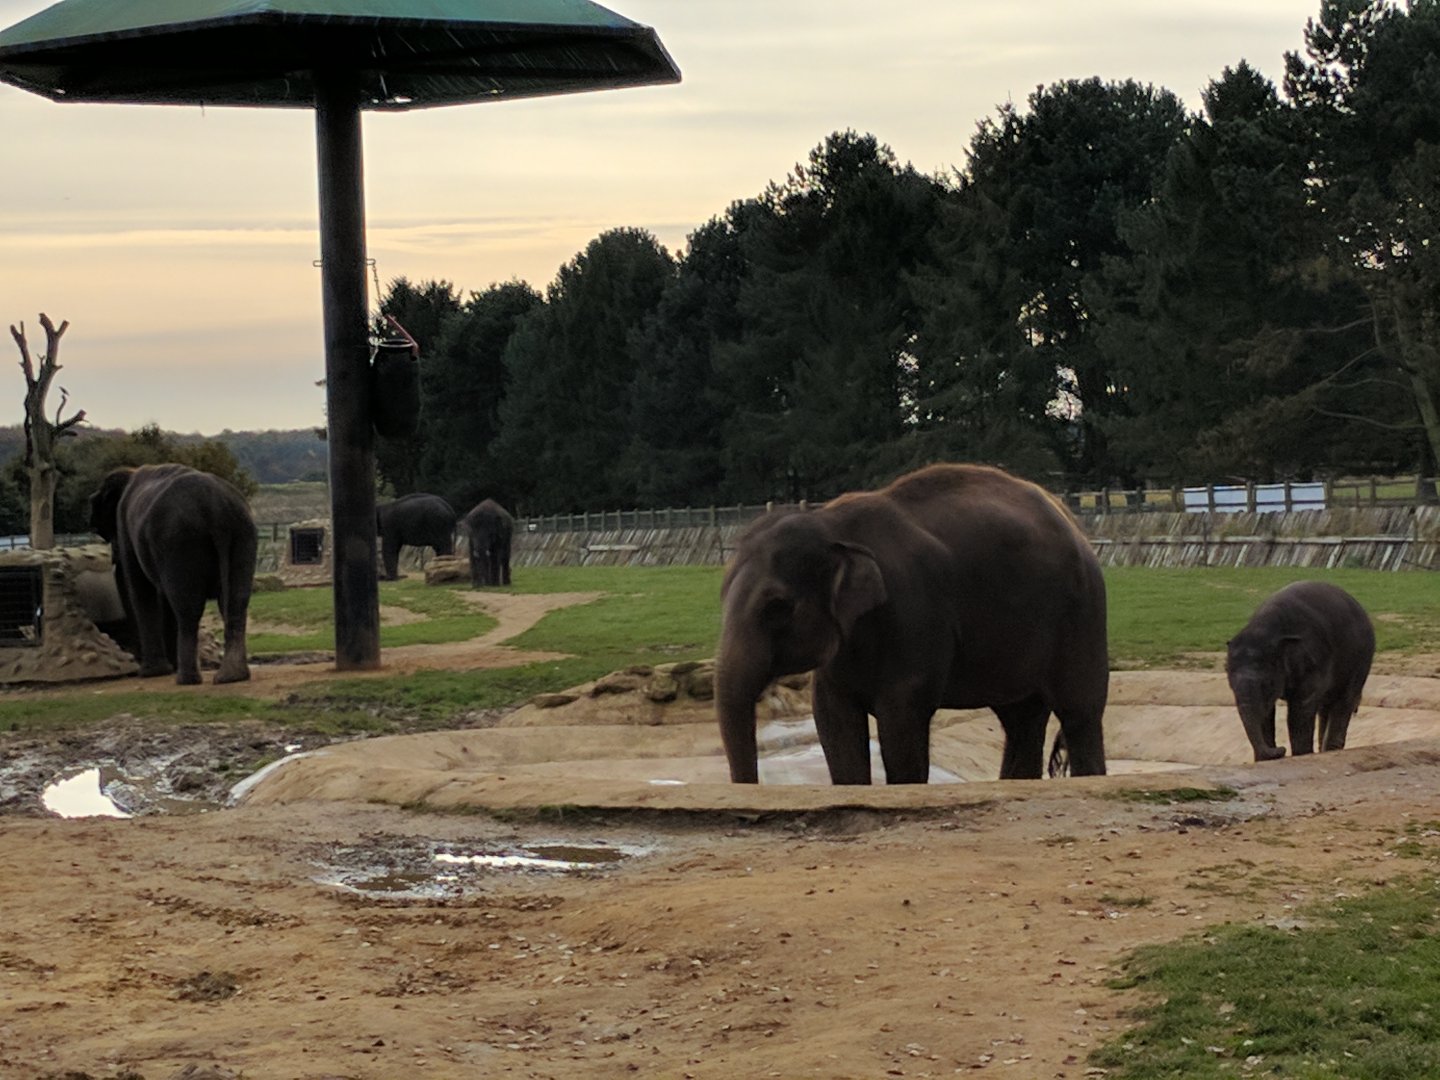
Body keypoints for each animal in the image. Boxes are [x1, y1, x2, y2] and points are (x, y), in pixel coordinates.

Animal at [89, 463, 257, 685]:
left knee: (187, 608)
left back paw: (187, 680)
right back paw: (232, 677)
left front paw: (152, 673)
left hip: (180, 541)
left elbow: (141, 588)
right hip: (242, 534)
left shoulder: (125, 525)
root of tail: (216, 508)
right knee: (236, 603)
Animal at [715, 463, 1110, 784]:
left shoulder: (913, 608)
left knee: (1079, 712)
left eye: (777, 607)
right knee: (1022, 718)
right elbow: (833, 719)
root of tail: (1069, 518)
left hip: (1081, 613)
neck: (831, 523)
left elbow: (900, 719)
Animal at [1225, 580, 1375, 762]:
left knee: (1343, 701)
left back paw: (1330, 750)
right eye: (1230, 685)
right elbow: (1267, 714)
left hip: (1360, 661)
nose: (1281, 749)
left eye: (1266, 684)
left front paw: (1300, 754)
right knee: (1326, 706)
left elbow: (1299, 711)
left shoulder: (1313, 662)